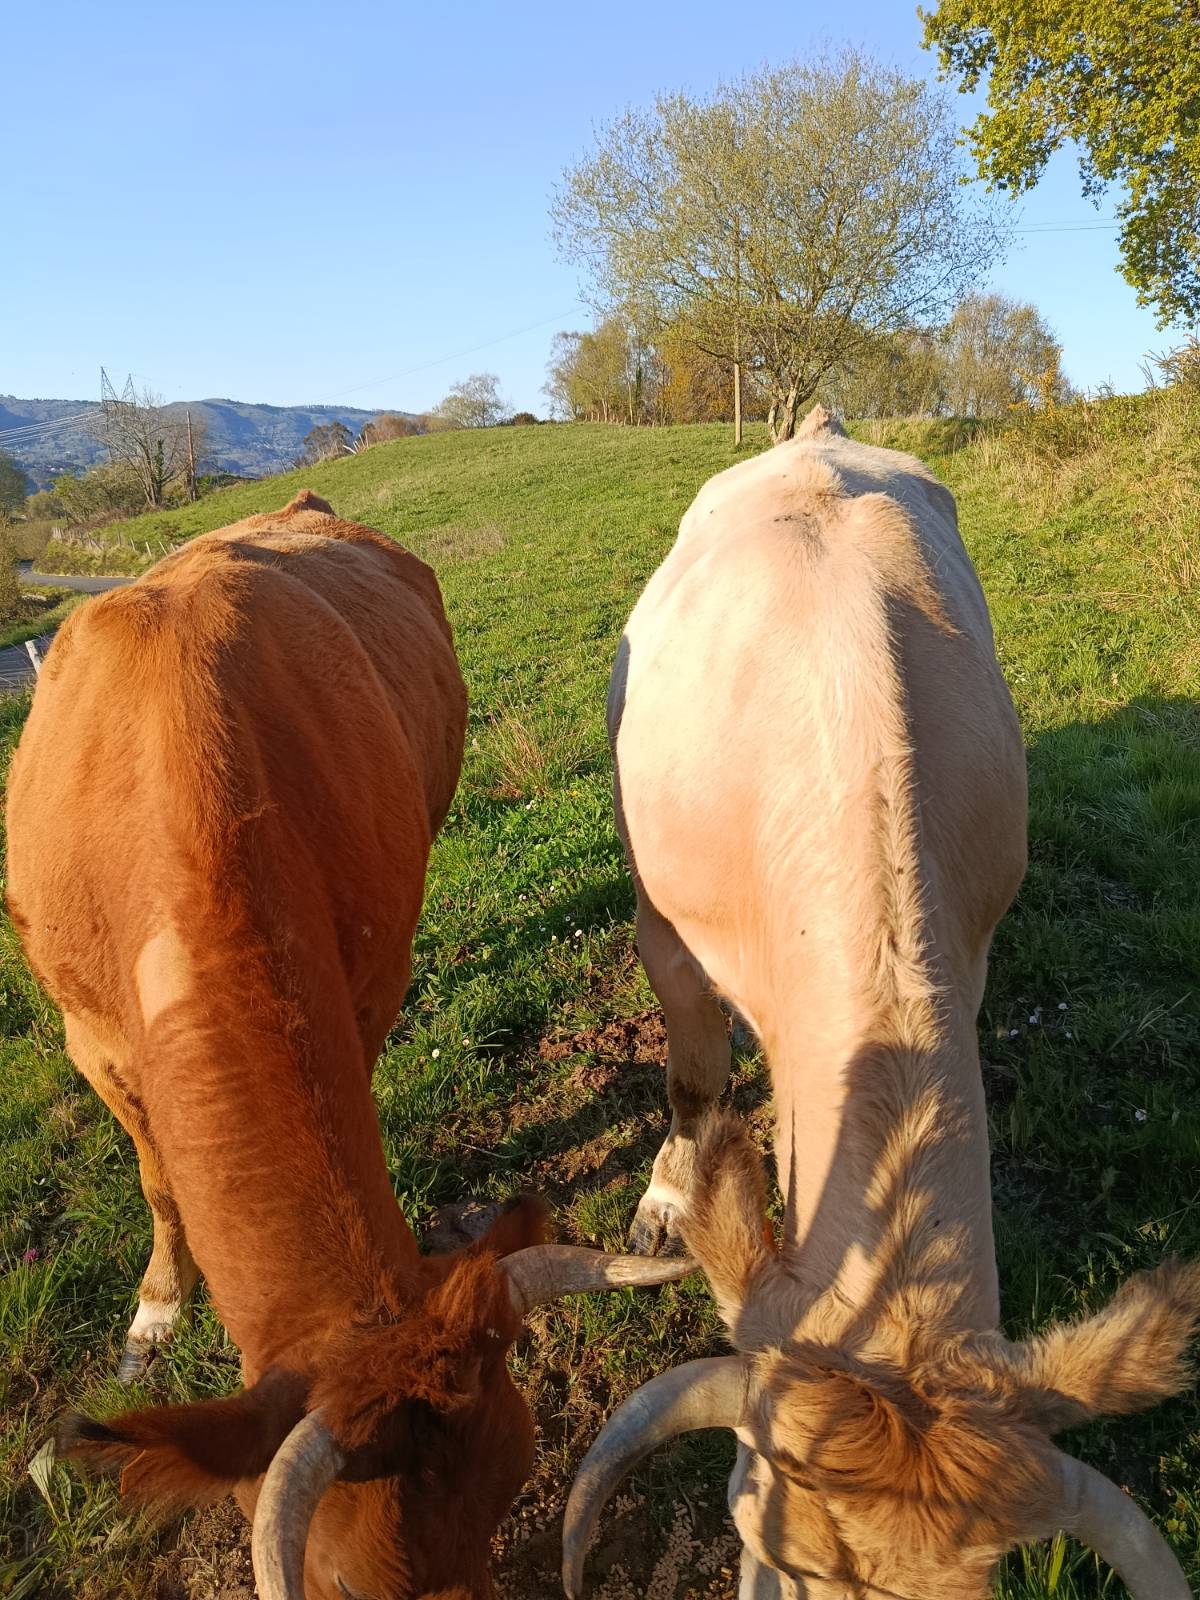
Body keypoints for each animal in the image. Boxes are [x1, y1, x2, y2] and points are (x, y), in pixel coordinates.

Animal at [5, 491, 688, 1600]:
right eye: (342, 1589)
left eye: (512, 1494)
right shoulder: (90, 1040)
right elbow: (155, 1179)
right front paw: (155, 1311)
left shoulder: (365, 984)